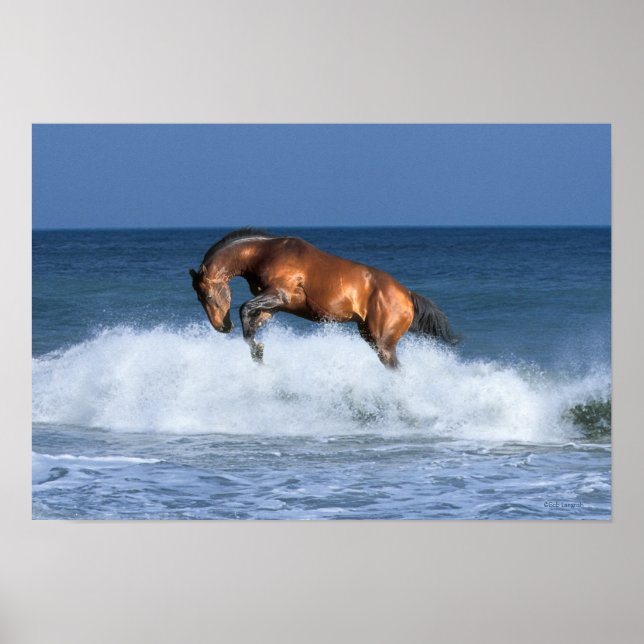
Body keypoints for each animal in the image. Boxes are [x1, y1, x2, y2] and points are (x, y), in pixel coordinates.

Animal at [189, 228, 457, 368]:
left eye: (208, 295)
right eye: (199, 299)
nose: (221, 327)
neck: (265, 253)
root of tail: (407, 295)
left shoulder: (278, 295)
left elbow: (244, 309)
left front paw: (257, 349)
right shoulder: (273, 306)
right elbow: (251, 323)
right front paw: (258, 352)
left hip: (383, 344)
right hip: (369, 336)